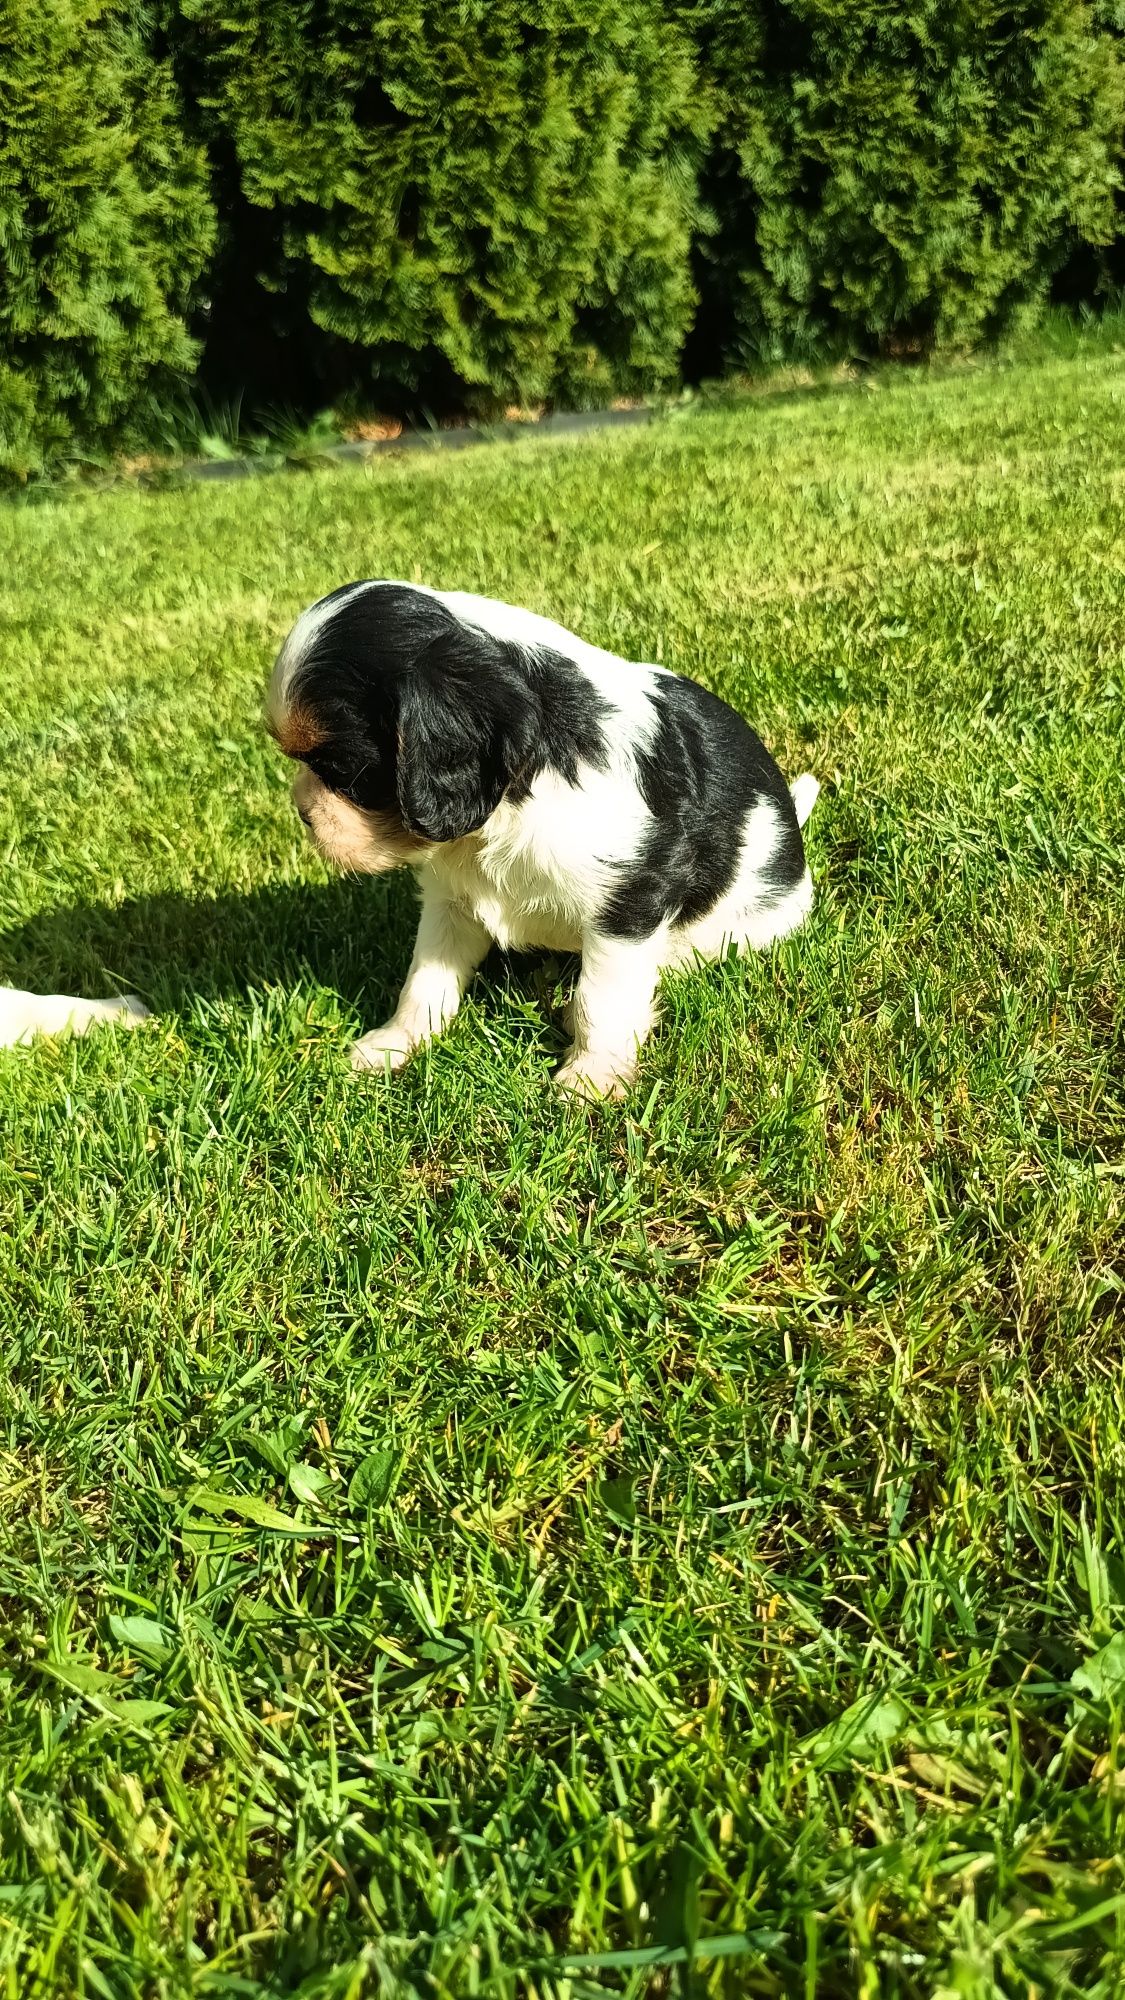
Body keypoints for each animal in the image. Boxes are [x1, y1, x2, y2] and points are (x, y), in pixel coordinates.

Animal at [270, 584, 812, 1104]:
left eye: (343, 769)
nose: (302, 813)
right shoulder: (450, 901)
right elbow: (425, 979)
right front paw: (395, 1044)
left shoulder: (630, 900)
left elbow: (602, 997)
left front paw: (592, 1078)